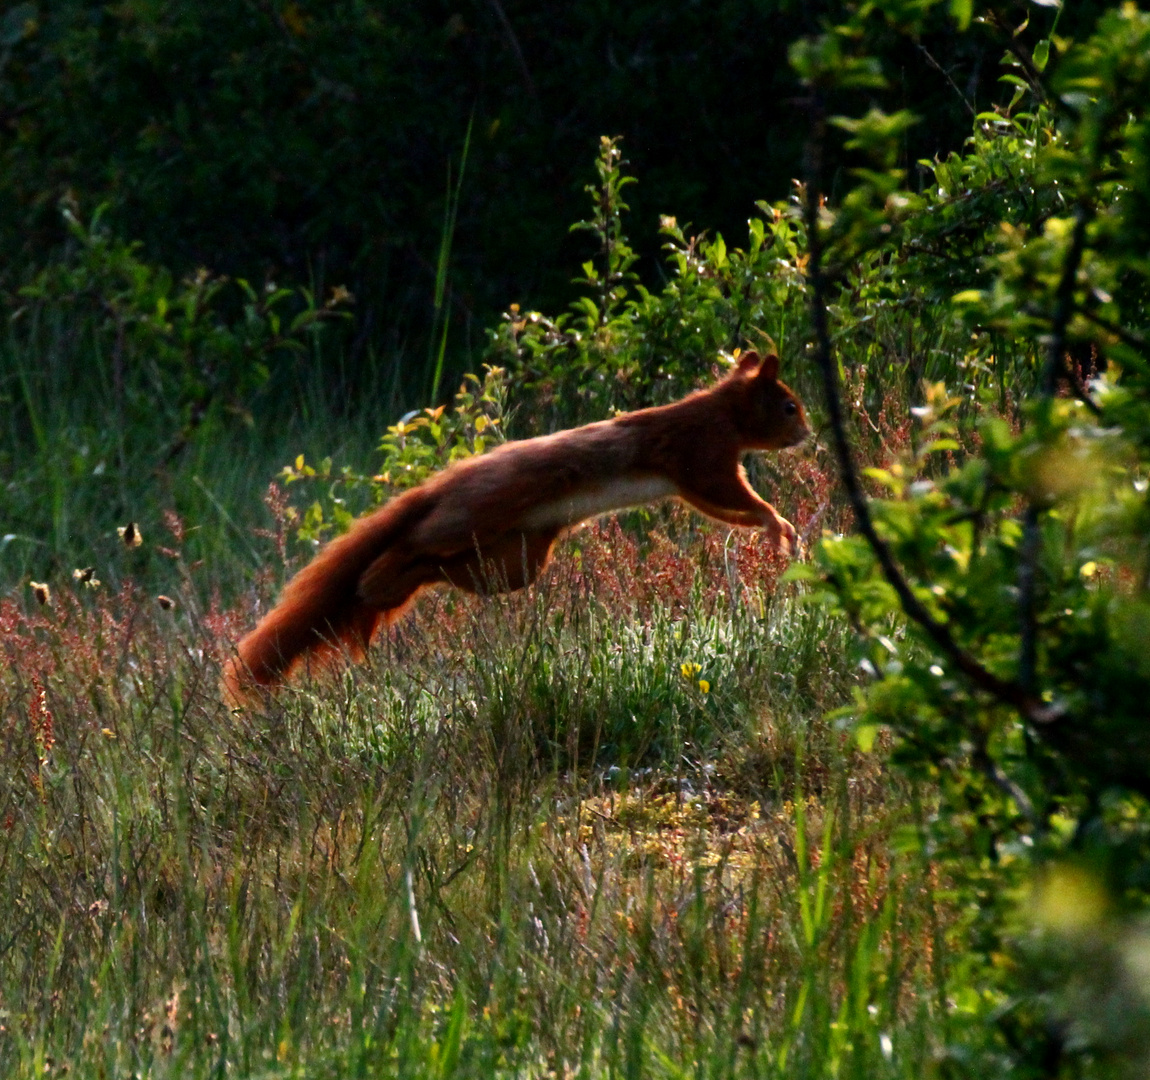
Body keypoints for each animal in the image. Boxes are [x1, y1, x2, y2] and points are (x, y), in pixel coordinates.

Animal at [224, 347, 809, 699]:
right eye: (788, 406)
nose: (808, 433)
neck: (722, 412)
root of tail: (444, 483)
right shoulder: (701, 455)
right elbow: (732, 497)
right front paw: (778, 524)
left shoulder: (696, 477)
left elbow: (722, 509)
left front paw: (782, 533)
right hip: (470, 517)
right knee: (413, 542)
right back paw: (375, 575)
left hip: (513, 560)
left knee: (437, 569)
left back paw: (380, 588)